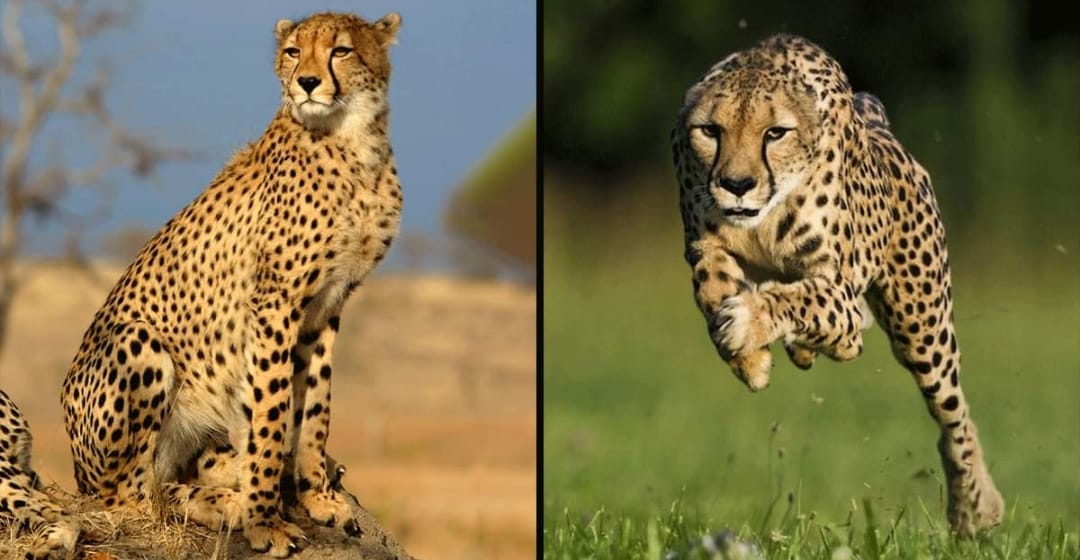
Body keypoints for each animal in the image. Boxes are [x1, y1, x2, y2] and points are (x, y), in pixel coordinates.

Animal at [59, 11, 403, 557]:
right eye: (292, 51)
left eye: (341, 50)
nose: (307, 83)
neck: (353, 142)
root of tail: (76, 472)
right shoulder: (275, 302)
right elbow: (272, 410)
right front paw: (265, 521)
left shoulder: (327, 304)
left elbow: (315, 407)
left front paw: (317, 495)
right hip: (137, 342)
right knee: (138, 498)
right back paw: (231, 502)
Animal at [670, 33, 1003, 536]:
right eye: (710, 131)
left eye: (775, 133)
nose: (736, 184)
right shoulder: (704, 244)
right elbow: (711, 285)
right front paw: (749, 359)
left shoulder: (838, 290)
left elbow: (802, 299)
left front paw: (748, 323)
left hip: (921, 327)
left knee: (953, 414)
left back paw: (975, 507)